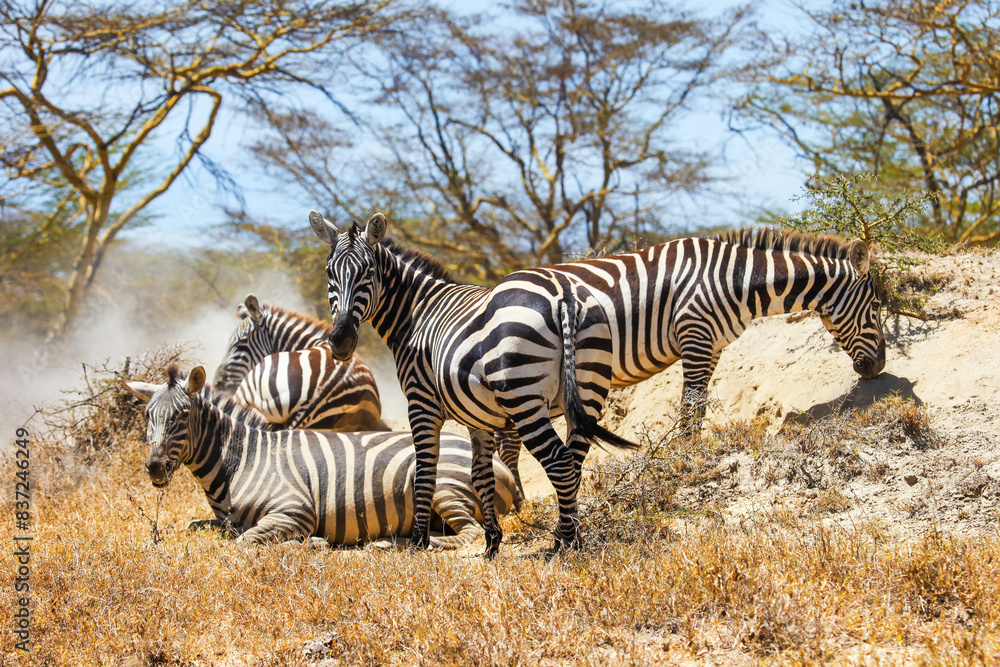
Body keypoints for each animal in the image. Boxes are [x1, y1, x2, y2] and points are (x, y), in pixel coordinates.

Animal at [121, 365, 521, 548]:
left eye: (182, 416)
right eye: (148, 417)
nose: (154, 468)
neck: (240, 461)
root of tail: (501, 466)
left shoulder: (295, 509)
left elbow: (245, 540)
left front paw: (310, 542)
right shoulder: (222, 520)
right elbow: (197, 526)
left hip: (444, 486)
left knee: (469, 534)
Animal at [309, 212, 886, 554]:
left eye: (365, 277)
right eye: (329, 277)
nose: (339, 342)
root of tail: (564, 297)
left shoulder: (425, 403)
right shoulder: (700, 338)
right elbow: (692, 409)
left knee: (562, 461)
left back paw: (563, 540)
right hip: (571, 390)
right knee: (564, 460)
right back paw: (561, 533)